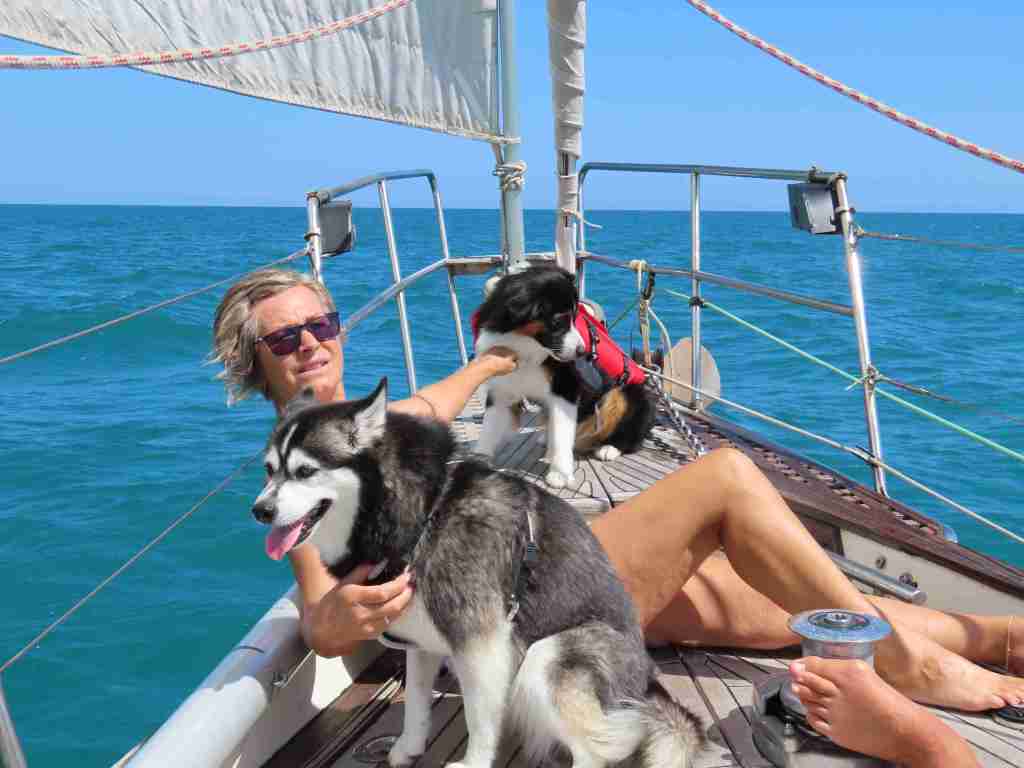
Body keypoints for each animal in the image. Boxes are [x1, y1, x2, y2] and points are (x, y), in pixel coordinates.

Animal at [252, 379, 703, 768]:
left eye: (306, 471)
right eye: (270, 469)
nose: (260, 511)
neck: (424, 512)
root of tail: (646, 686)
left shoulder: (482, 645)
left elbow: (479, 718)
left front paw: (472, 763)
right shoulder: (420, 644)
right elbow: (415, 704)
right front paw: (408, 748)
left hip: (548, 656)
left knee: (597, 750)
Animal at [472, 264, 657, 488]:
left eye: (575, 317)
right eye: (559, 320)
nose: (582, 351)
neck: (526, 344)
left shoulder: (565, 388)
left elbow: (562, 432)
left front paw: (559, 474)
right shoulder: (502, 387)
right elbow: (489, 427)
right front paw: (480, 459)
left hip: (628, 394)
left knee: (633, 434)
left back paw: (609, 448)